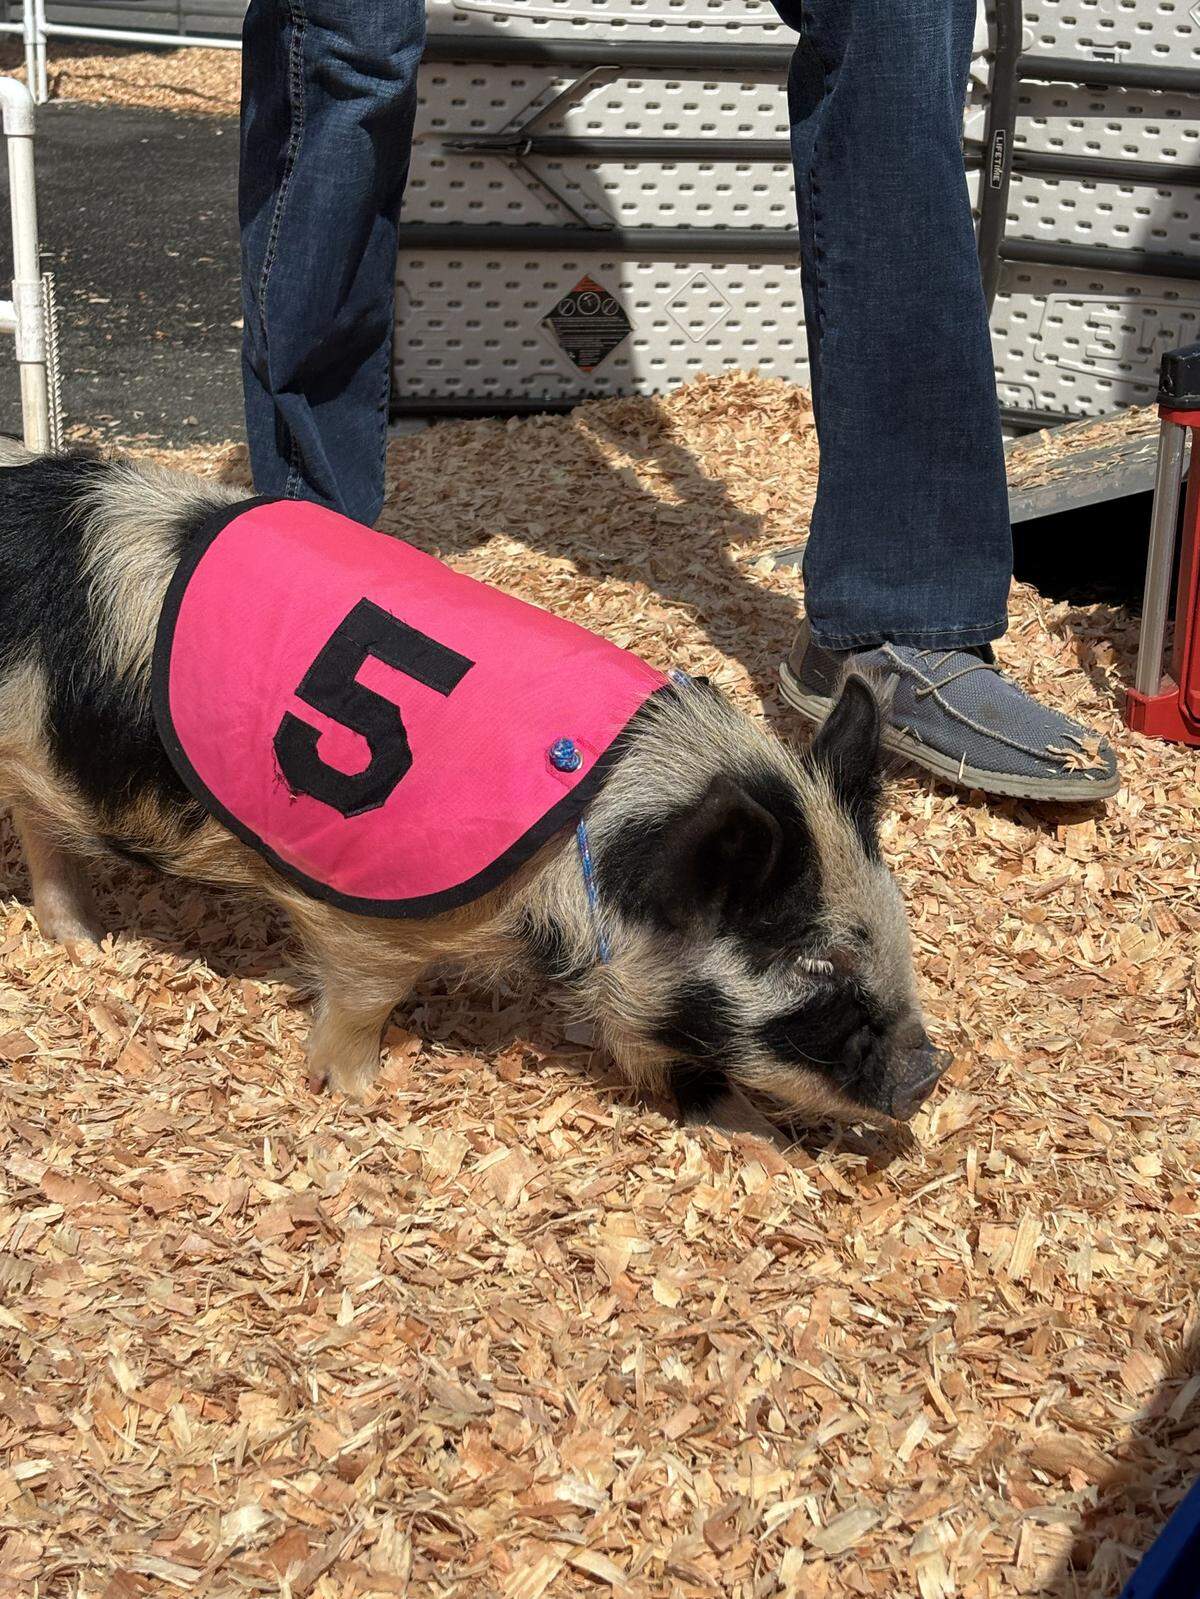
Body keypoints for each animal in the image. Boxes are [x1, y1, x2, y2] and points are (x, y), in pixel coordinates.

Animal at [0, 440, 948, 1138]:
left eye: (897, 925)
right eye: (816, 964)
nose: (929, 1072)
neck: (589, 843)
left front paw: (754, 1133)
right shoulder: (366, 911)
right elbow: (362, 999)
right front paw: (362, 1094)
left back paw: (79, 942)